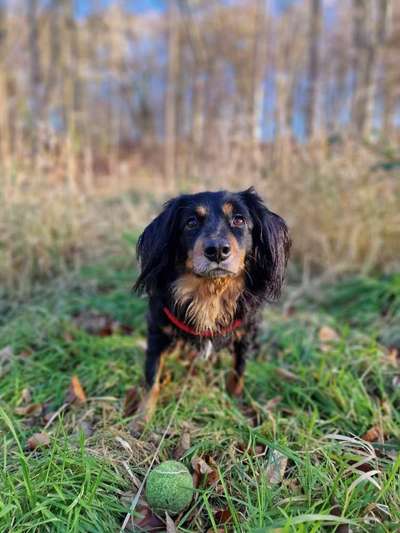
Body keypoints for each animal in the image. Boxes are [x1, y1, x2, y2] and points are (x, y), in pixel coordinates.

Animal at [133, 187, 290, 420]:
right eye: (190, 223)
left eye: (239, 219)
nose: (216, 250)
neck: (211, 292)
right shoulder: (158, 330)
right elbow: (152, 378)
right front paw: (141, 418)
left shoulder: (245, 334)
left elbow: (238, 372)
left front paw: (237, 405)